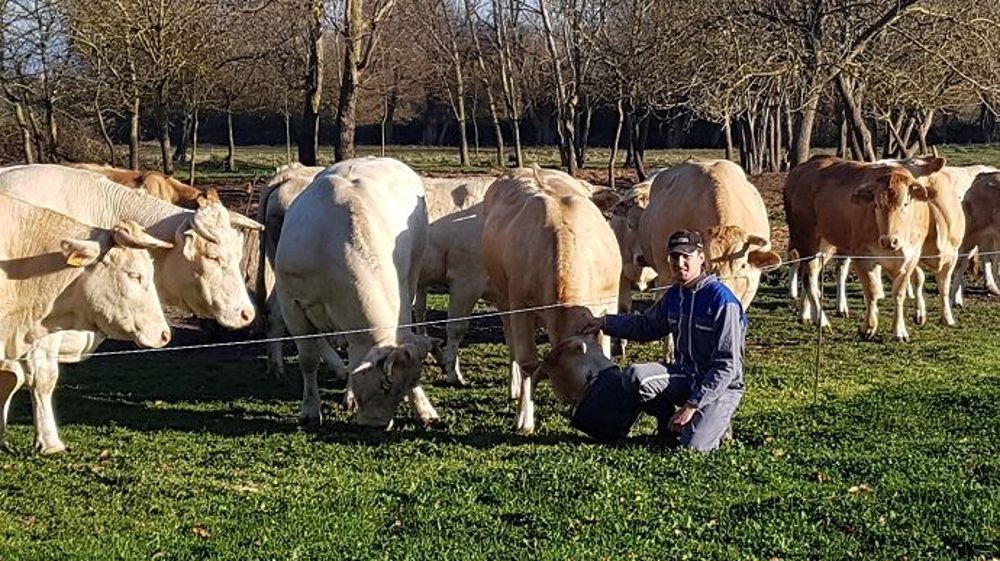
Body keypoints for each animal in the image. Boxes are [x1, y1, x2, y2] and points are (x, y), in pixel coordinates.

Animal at [275, 157, 439, 429]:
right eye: (385, 384)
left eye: (411, 382)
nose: (378, 425)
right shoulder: (291, 304)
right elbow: (308, 360)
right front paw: (310, 410)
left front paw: (423, 408)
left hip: (415, 266)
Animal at [481, 166, 621, 434]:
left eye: (591, 377)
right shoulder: (519, 306)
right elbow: (528, 363)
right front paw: (524, 418)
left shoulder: (609, 300)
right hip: (504, 300)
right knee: (512, 345)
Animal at [784, 154, 960, 341]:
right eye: (876, 204)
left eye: (906, 203)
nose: (889, 241)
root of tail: (802, 168)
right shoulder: (862, 257)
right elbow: (872, 291)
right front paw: (868, 327)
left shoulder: (911, 259)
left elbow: (899, 293)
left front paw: (899, 331)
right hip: (807, 239)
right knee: (808, 277)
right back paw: (822, 321)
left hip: (825, 245)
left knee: (811, 274)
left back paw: (805, 315)